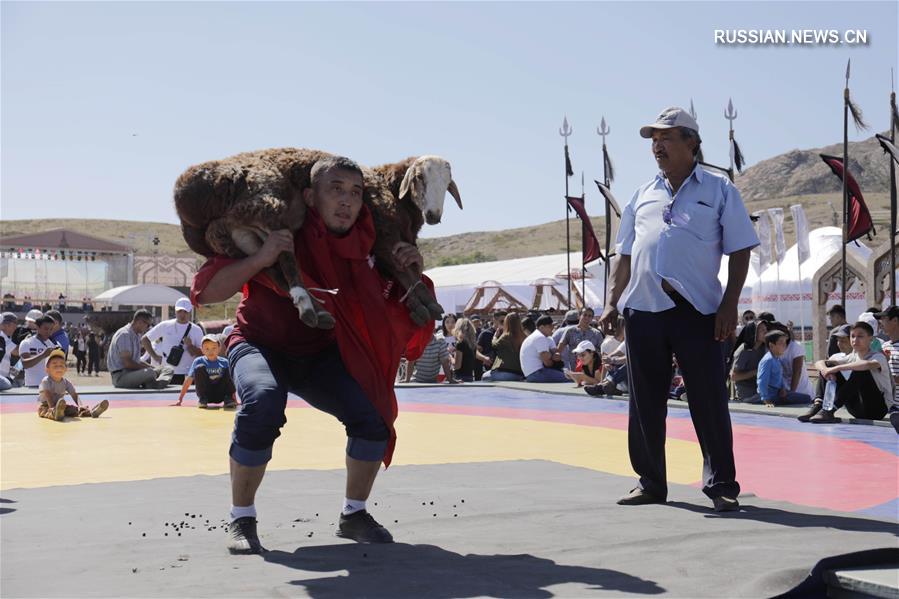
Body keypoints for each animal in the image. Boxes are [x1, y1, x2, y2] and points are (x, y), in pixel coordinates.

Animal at [174, 149, 464, 328]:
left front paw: (418, 303)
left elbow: (402, 269)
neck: (390, 187)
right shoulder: (384, 228)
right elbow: (403, 269)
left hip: (234, 236)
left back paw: (317, 311)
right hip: (268, 203)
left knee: (271, 270)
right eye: (419, 178)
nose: (433, 215)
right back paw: (307, 306)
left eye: (447, 183)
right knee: (287, 261)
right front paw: (426, 302)